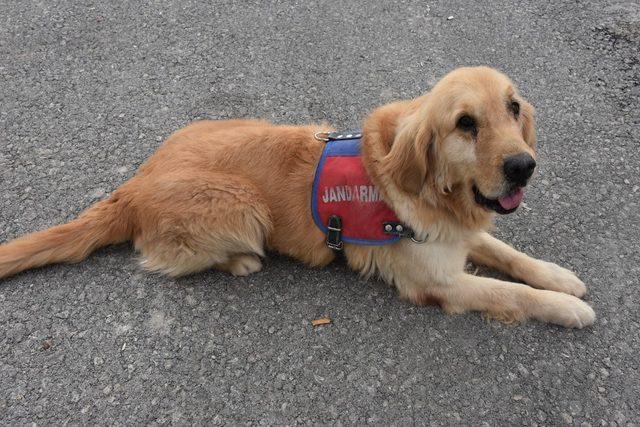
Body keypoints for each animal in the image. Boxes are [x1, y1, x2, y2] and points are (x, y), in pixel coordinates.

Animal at [0, 66, 596, 328]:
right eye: (465, 123)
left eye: (513, 108)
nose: (523, 166)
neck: (433, 194)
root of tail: (132, 185)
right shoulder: (439, 282)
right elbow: (510, 294)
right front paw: (568, 308)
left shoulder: (458, 235)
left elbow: (509, 255)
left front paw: (560, 277)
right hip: (243, 204)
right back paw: (240, 261)